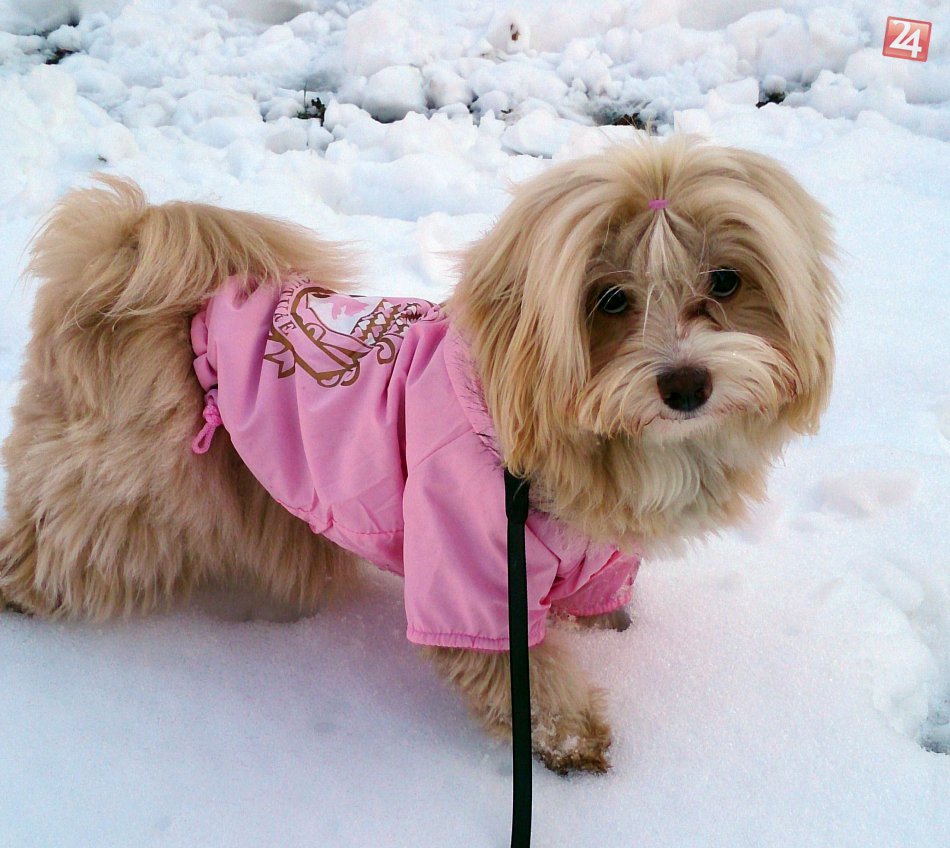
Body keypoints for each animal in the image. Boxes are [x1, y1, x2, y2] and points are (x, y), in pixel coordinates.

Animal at [0, 135, 838, 774]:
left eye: (724, 281)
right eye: (609, 299)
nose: (687, 384)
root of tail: (124, 263)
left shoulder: (600, 555)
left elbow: (602, 602)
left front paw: (615, 634)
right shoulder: (474, 565)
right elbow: (513, 670)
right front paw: (567, 736)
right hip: (117, 487)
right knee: (53, 541)